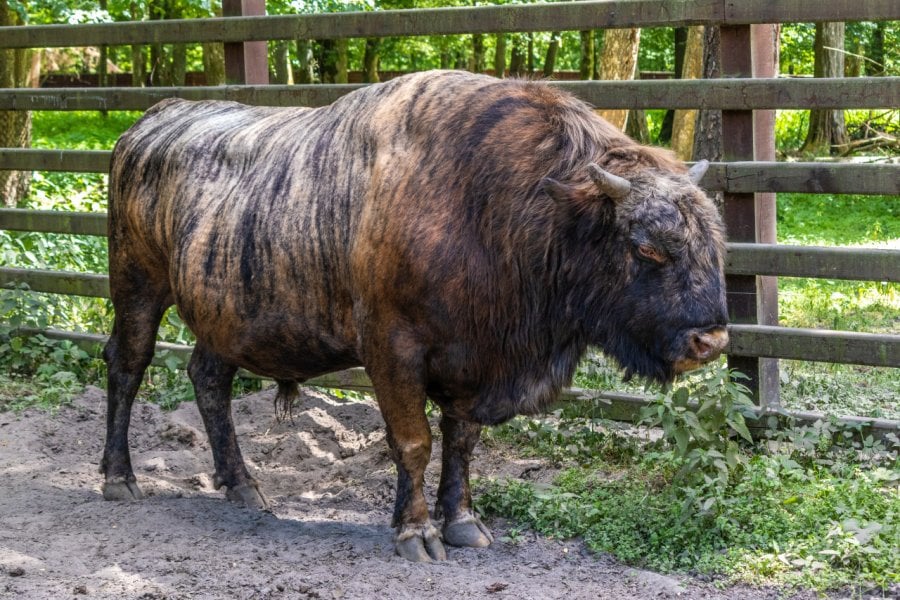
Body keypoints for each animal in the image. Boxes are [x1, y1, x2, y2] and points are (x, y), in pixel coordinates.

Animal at [102, 70, 728, 564]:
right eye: (647, 248)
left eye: (714, 243)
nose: (712, 340)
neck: (499, 206)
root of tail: (150, 121)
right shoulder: (393, 351)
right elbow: (413, 441)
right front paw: (416, 534)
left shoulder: (474, 361)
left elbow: (462, 442)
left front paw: (465, 525)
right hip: (138, 287)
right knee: (127, 366)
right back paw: (118, 479)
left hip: (223, 316)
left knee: (209, 378)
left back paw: (244, 487)